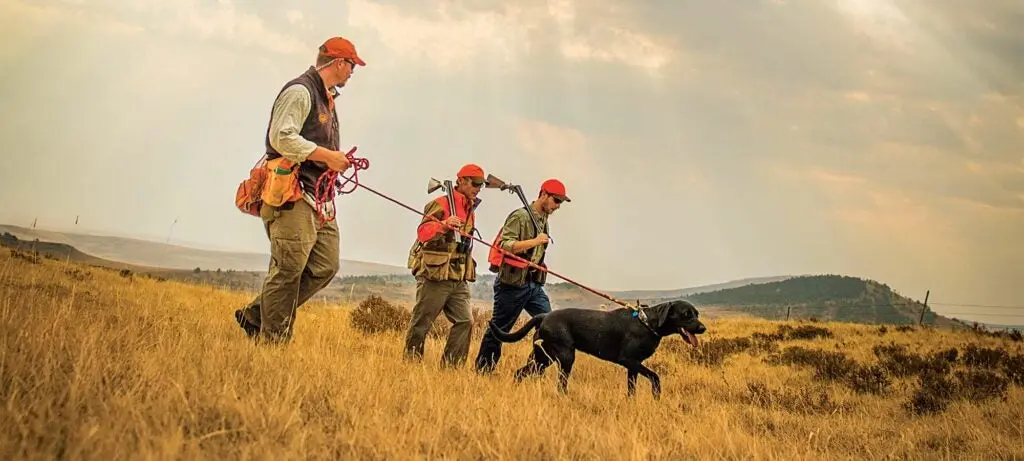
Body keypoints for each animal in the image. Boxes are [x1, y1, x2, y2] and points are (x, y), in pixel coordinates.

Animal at [487, 299, 704, 399]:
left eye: (697, 313)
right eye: (686, 314)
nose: (703, 328)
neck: (648, 323)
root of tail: (544, 316)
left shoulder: (633, 366)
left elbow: (631, 388)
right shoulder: (628, 360)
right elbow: (656, 377)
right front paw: (656, 396)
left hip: (542, 358)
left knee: (519, 373)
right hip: (565, 356)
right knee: (561, 385)